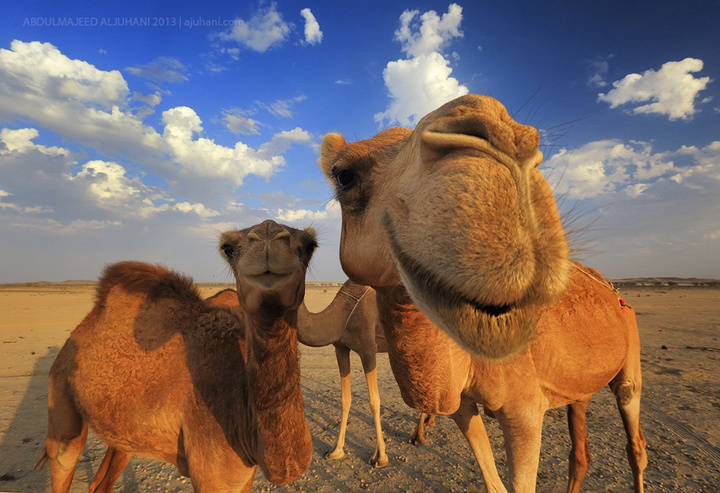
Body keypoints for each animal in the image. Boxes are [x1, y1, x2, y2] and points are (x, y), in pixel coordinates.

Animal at [38, 219, 318, 492]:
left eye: (310, 246)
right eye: (228, 248)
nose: (268, 234)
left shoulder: (243, 474)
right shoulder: (213, 472)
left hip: (122, 430)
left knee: (101, 481)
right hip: (60, 397)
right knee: (64, 454)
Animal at [209, 280, 390, 468]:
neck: (343, 314)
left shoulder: (368, 349)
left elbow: (374, 401)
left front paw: (381, 457)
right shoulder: (340, 348)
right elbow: (345, 400)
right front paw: (336, 451)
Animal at [320, 94, 646, 492]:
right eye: (344, 175)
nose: (504, 133)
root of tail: (615, 294)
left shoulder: (526, 411)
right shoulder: (462, 406)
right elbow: (493, 482)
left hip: (630, 361)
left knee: (635, 441)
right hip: (578, 388)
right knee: (580, 451)